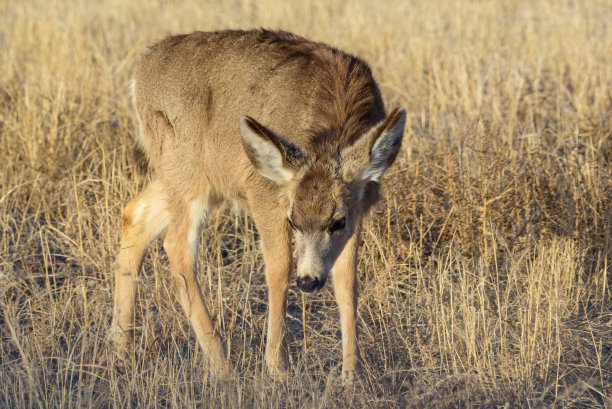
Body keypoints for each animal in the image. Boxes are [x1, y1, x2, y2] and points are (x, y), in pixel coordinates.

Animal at [109, 29, 406, 382]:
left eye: (337, 222)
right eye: (293, 221)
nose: (309, 281)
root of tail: (140, 71)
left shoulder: (359, 207)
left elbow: (347, 280)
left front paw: (352, 373)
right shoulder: (263, 192)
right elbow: (279, 269)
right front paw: (277, 369)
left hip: (190, 179)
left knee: (134, 214)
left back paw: (120, 347)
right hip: (186, 171)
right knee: (177, 246)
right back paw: (221, 366)